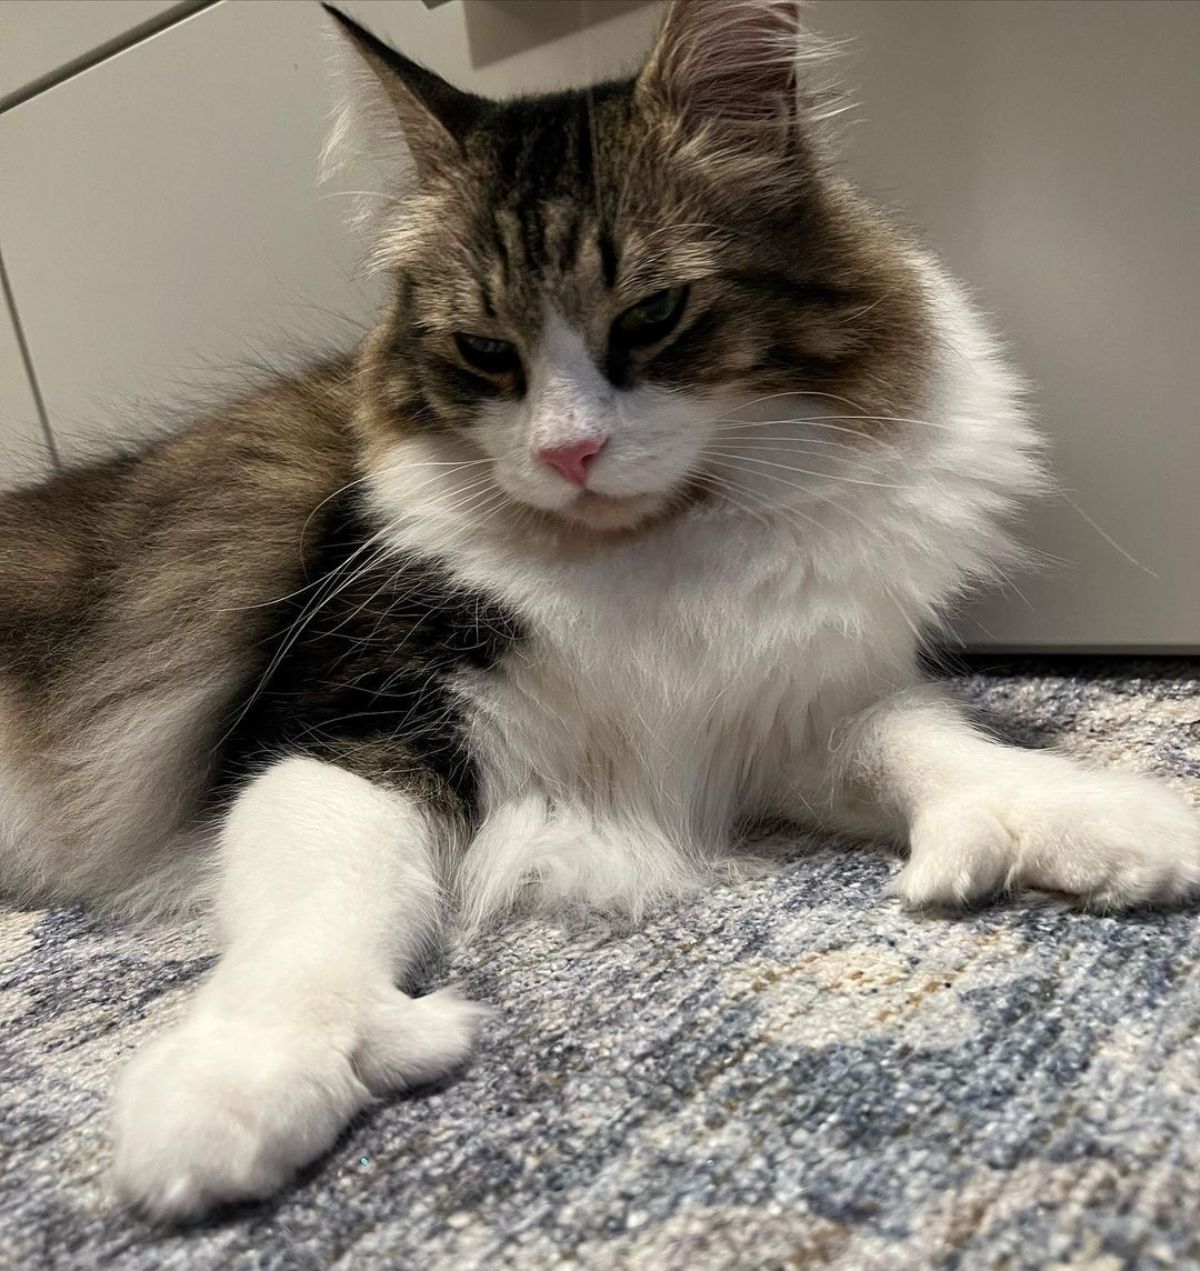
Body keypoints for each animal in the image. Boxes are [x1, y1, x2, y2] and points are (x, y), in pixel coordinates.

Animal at [2, 0, 1200, 1220]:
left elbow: (934, 745)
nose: (568, 453)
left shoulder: (771, 710)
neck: (642, 562)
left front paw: (1104, 820)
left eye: (655, 312)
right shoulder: (346, 719)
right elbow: (318, 907)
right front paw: (241, 1079)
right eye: (485, 352)